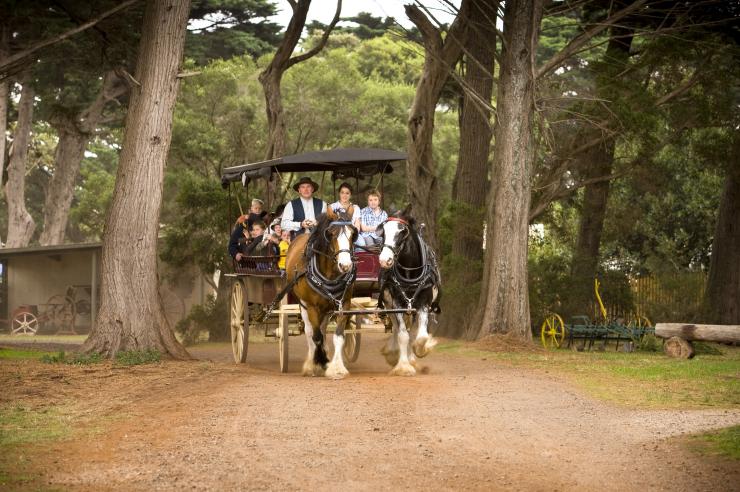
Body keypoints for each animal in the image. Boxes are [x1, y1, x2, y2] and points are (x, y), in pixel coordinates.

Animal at [284, 206, 358, 379]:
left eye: (353, 234)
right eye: (331, 234)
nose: (345, 265)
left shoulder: (344, 304)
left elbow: (338, 336)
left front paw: (337, 367)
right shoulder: (311, 306)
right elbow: (315, 336)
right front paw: (322, 361)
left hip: (326, 309)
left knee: (323, 330)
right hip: (303, 304)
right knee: (310, 331)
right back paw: (311, 364)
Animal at [377, 205, 441, 376]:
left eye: (402, 231)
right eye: (383, 231)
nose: (384, 260)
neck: (409, 272)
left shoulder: (423, 302)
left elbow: (420, 336)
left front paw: (421, 350)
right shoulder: (397, 303)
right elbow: (402, 335)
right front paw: (403, 366)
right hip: (389, 303)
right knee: (396, 328)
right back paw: (393, 353)